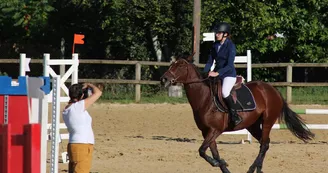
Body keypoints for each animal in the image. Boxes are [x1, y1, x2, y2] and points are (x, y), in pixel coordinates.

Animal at [160, 53, 314, 173]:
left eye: (180, 66)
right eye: (172, 65)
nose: (164, 79)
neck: (205, 98)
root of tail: (272, 90)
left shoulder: (215, 130)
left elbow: (202, 150)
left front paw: (218, 163)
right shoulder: (207, 132)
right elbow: (213, 153)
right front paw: (222, 164)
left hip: (267, 122)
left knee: (264, 144)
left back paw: (252, 169)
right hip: (252, 125)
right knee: (264, 143)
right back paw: (258, 169)